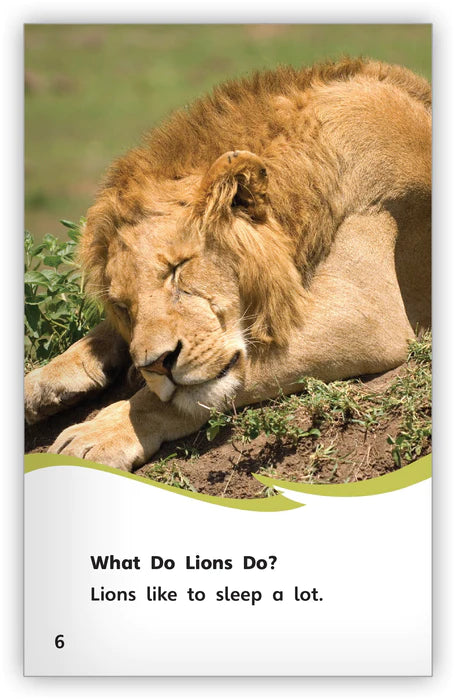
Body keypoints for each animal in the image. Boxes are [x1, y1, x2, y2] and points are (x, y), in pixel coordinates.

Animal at [24, 58, 431, 472]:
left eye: (178, 268)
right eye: (124, 306)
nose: (158, 364)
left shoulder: (366, 318)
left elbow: (201, 388)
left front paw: (102, 432)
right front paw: (43, 381)